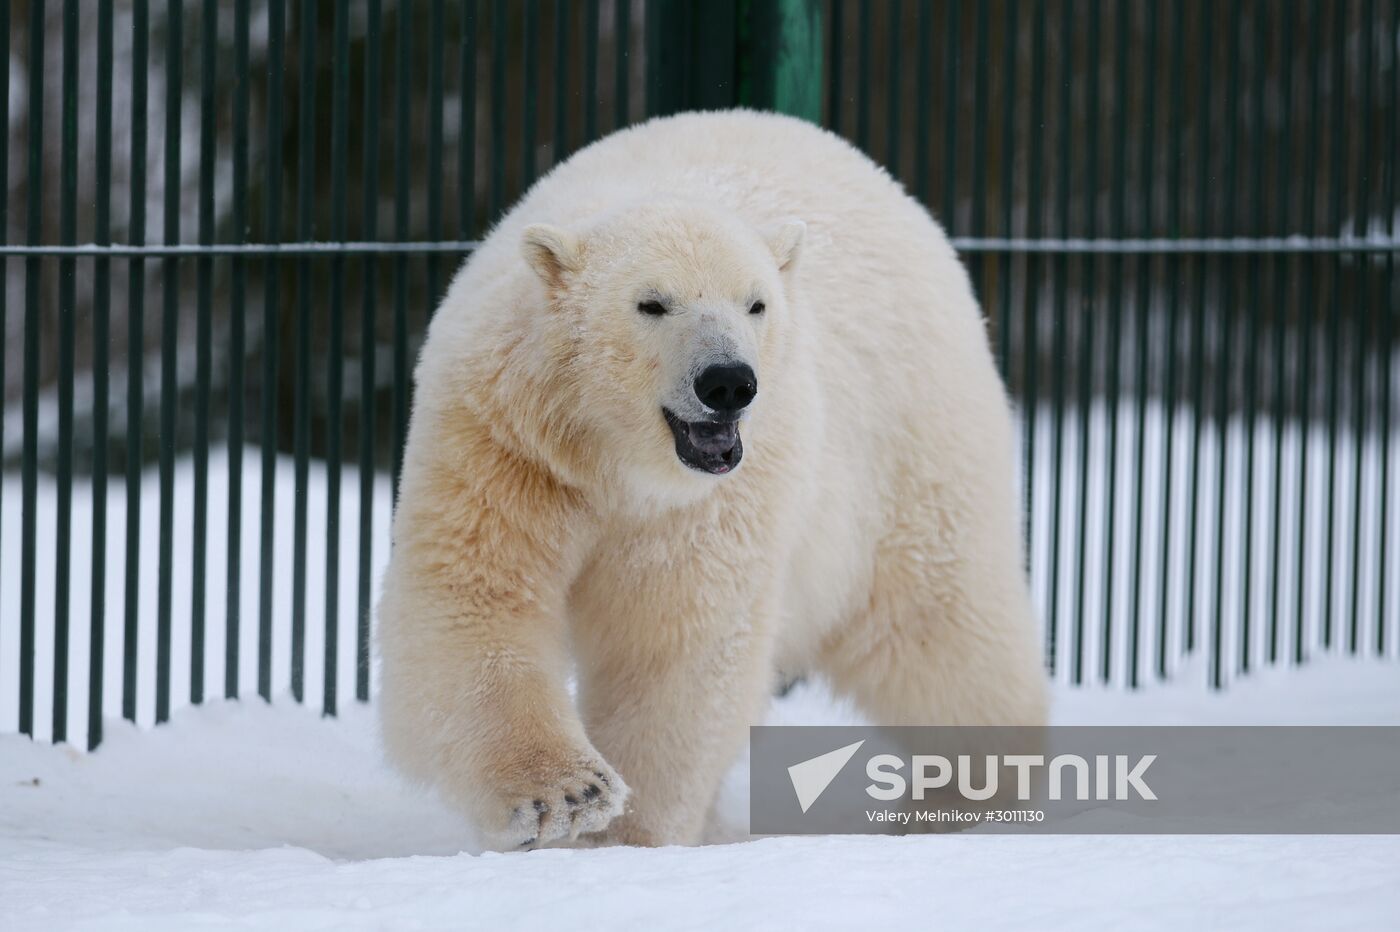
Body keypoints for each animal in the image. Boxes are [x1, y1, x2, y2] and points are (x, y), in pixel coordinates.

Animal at [378, 110, 1047, 850]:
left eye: (756, 304)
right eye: (651, 303)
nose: (727, 382)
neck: (616, 460)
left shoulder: (715, 503)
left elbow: (677, 645)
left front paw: (627, 837)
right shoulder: (506, 445)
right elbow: (475, 599)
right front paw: (567, 795)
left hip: (912, 440)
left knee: (939, 624)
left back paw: (971, 790)